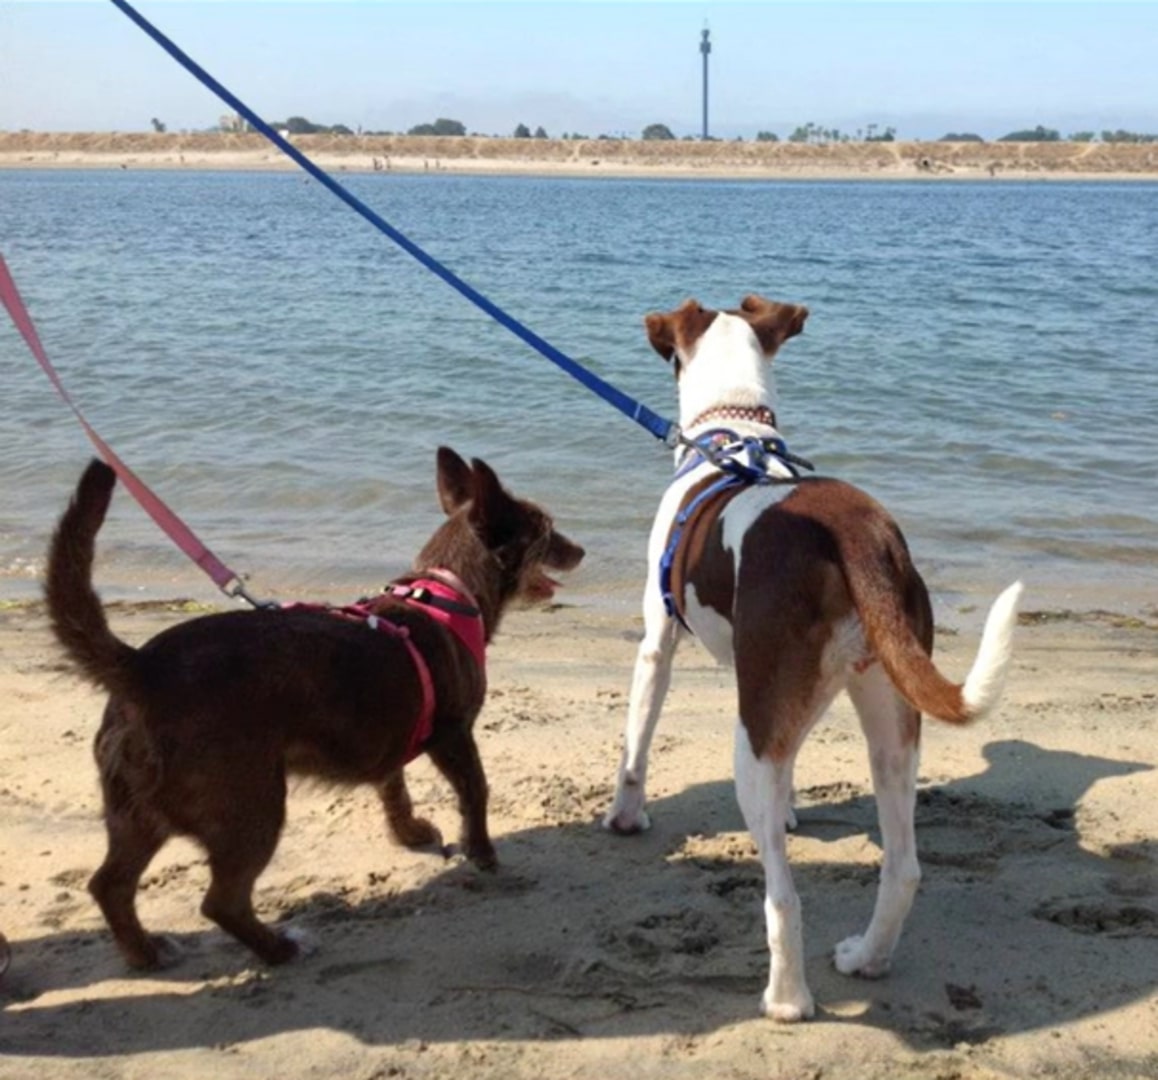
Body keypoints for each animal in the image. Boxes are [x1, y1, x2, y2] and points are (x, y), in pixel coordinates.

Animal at [45, 446, 583, 967]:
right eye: (546, 529)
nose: (581, 550)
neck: (450, 591)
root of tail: (141, 669)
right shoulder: (454, 734)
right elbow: (475, 790)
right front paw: (484, 853)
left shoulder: (392, 735)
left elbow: (394, 787)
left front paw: (409, 833)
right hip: (250, 807)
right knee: (221, 902)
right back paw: (279, 949)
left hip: (135, 812)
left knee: (109, 885)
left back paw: (146, 953)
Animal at [606, 295, 1023, 1018]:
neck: (731, 434)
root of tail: (860, 537)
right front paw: (795, 806)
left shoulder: (658, 645)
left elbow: (637, 744)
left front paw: (626, 816)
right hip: (890, 723)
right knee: (903, 867)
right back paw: (866, 958)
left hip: (752, 743)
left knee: (783, 896)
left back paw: (786, 999)